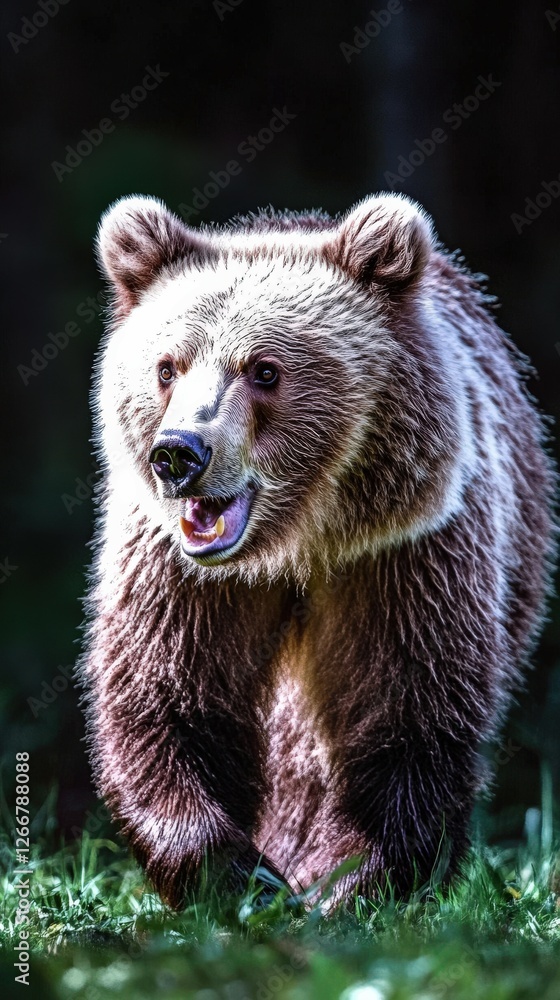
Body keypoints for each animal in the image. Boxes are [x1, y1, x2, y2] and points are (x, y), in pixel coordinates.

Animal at [79, 192, 555, 910]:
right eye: (167, 367)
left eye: (264, 369)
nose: (179, 454)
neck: (293, 546)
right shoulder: (175, 572)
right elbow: (166, 698)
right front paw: (236, 875)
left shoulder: (403, 557)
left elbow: (405, 713)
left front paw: (349, 884)